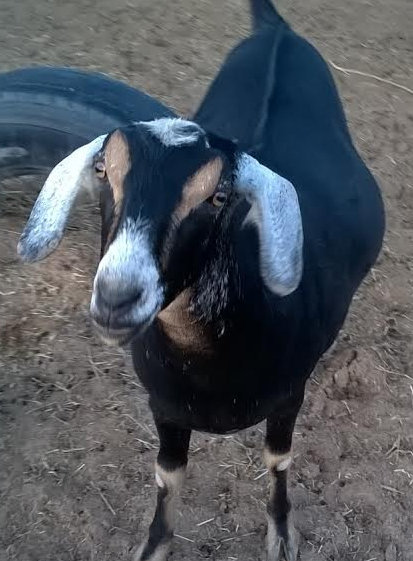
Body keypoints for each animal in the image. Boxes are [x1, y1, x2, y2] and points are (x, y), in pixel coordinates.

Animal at [16, 1, 384, 560]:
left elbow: (278, 461)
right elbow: (167, 478)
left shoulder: (289, 396)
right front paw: (153, 545)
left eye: (219, 197)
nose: (118, 297)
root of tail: (275, 30)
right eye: (103, 171)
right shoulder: (164, 407)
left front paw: (282, 535)